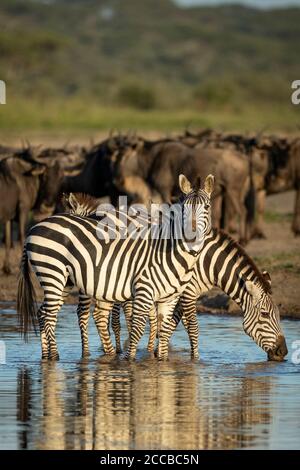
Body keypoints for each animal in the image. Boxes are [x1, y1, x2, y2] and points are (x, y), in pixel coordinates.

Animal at [17, 174, 213, 362]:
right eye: (184, 208)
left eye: (207, 207)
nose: (191, 236)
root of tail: (33, 228)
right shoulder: (136, 289)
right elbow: (131, 325)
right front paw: (125, 359)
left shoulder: (165, 297)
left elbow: (158, 326)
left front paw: (158, 359)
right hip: (53, 273)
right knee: (50, 316)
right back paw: (55, 358)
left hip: (60, 279)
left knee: (43, 313)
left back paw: (47, 355)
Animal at [109, 229, 288, 362]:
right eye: (264, 314)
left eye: (279, 314)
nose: (283, 352)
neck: (208, 264)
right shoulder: (188, 292)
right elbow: (193, 328)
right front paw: (195, 360)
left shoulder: (183, 295)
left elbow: (172, 324)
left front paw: (158, 351)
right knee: (116, 318)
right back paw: (116, 352)